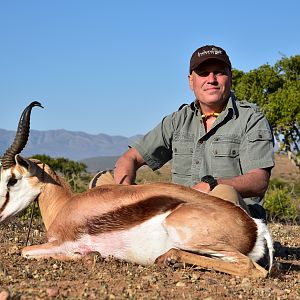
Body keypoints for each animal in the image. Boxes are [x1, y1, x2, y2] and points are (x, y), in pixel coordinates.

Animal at [0, 102, 272, 276]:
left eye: (12, 179)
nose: (0, 216)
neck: (66, 206)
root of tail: (254, 226)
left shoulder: (62, 243)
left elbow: (25, 250)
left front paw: (89, 255)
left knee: (252, 269)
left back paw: (168, 259)